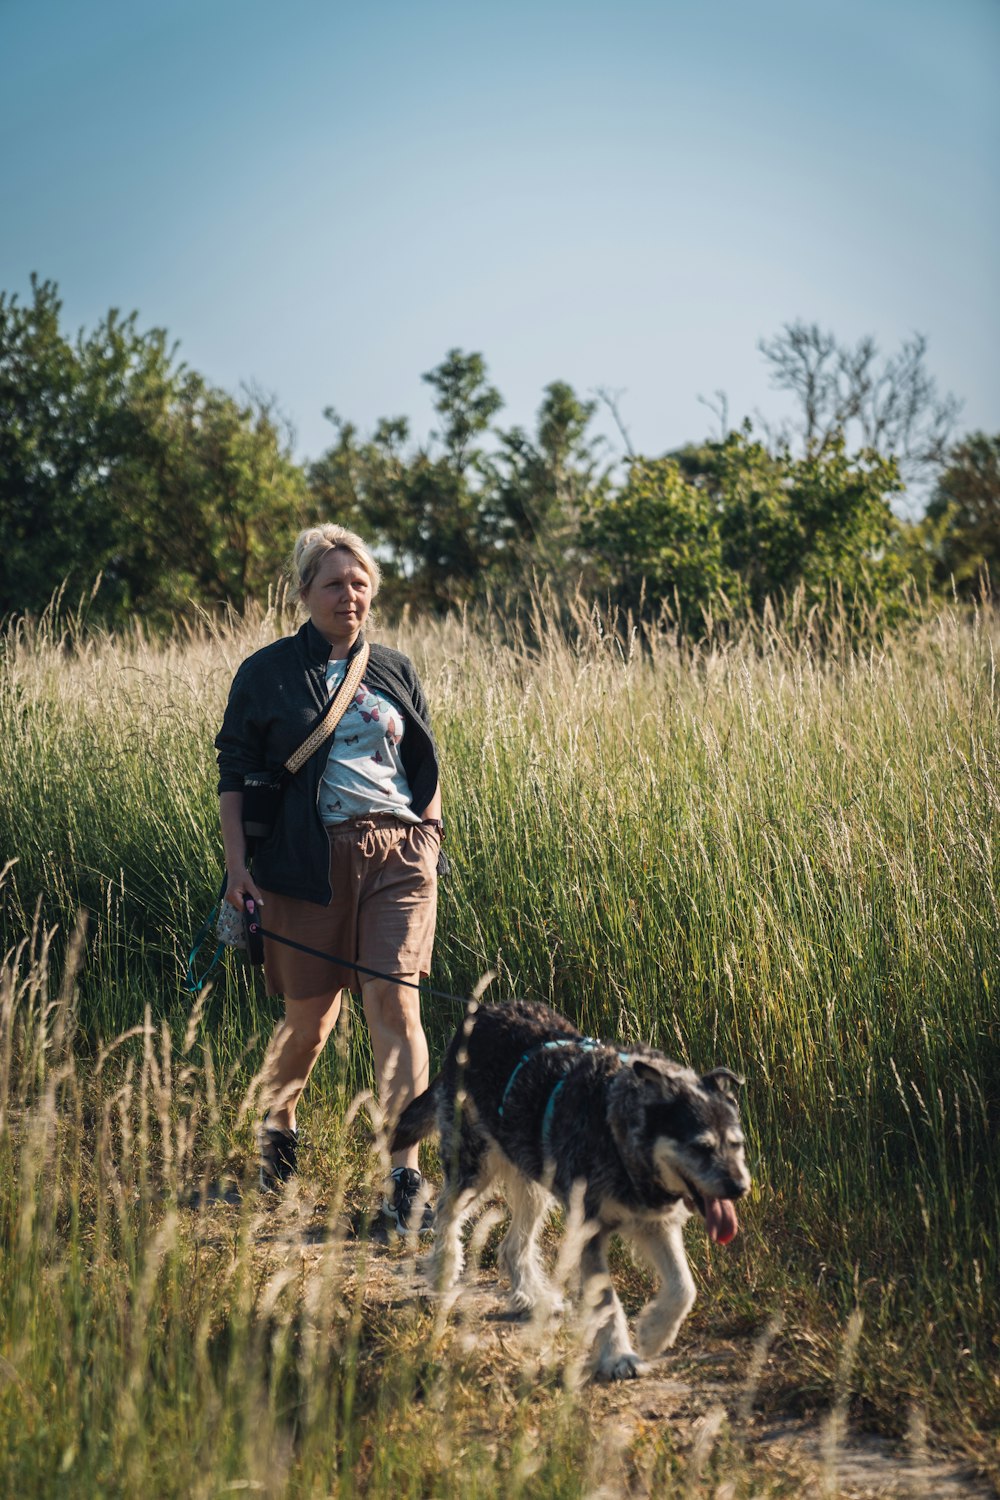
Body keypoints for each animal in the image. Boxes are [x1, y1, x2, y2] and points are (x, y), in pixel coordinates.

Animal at [389, 1002, 749, 1374]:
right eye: (701, 1147)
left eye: (737, 1144)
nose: (739, 1187)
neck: (617, 1126)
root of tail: (481, 1011)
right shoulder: (589, 1229)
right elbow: (606, 1300)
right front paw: (618, 1356)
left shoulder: (656, 1223)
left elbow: (683, 1287)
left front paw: (654, 1334)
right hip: (474, 1167)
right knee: (446, 1211)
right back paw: (446, 1270)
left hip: (533, 1184)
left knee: (512, 1245)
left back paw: (532, 1298)